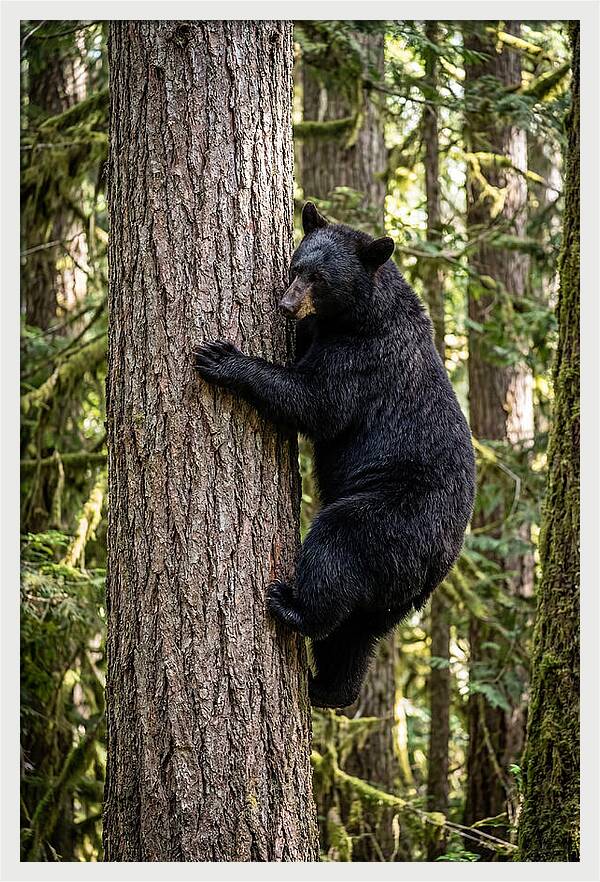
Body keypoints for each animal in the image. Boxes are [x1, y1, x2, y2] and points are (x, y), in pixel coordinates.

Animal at [193, 201, 476, 708]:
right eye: (295, 266)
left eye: (320, 279)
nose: (286, 305)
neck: (360, 315)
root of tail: (439, 562)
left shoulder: (363, 359)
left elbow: (316, 402)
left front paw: (223, 357)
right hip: (392, 593)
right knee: (356, 633)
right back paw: (330, 689)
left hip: (391, 517)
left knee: (336, 548)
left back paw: (291, 606)